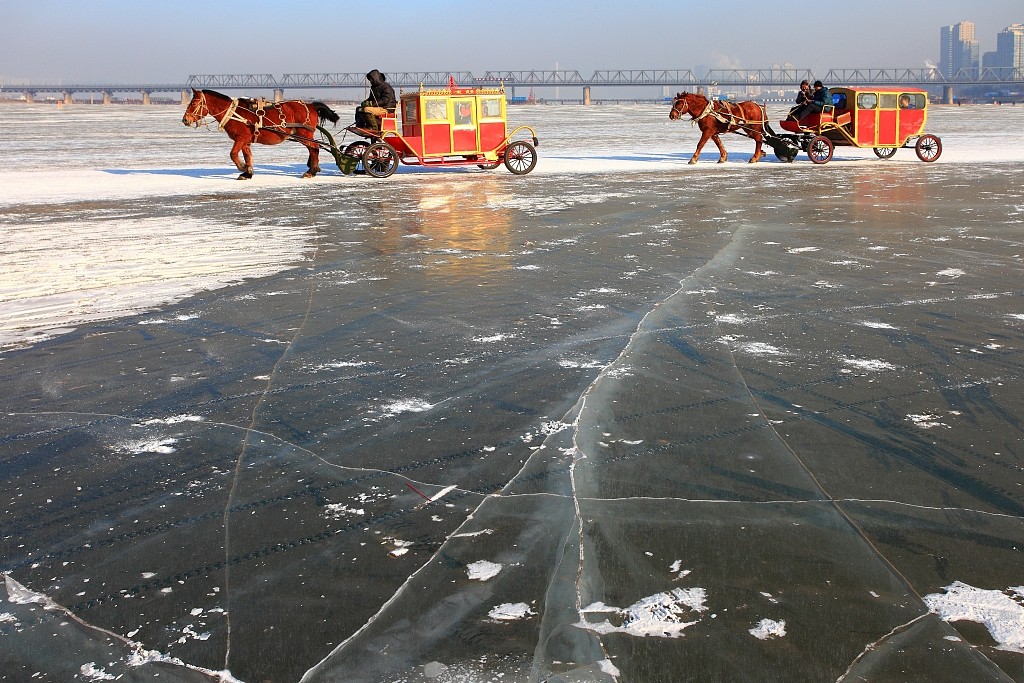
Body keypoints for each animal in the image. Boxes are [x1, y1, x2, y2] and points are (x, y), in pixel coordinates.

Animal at [183, 89, 339, 180]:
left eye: (193, 103)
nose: (185, 119)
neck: (234, 113)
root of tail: (311, 105)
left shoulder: (241, 138)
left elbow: (233, 154)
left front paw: (242, 168)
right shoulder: (245, 141)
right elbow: (248, 156)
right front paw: (247, 172)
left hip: (304, 133)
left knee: (315, 148)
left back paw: (312, 171)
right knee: (313, 149)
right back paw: (313, 168)